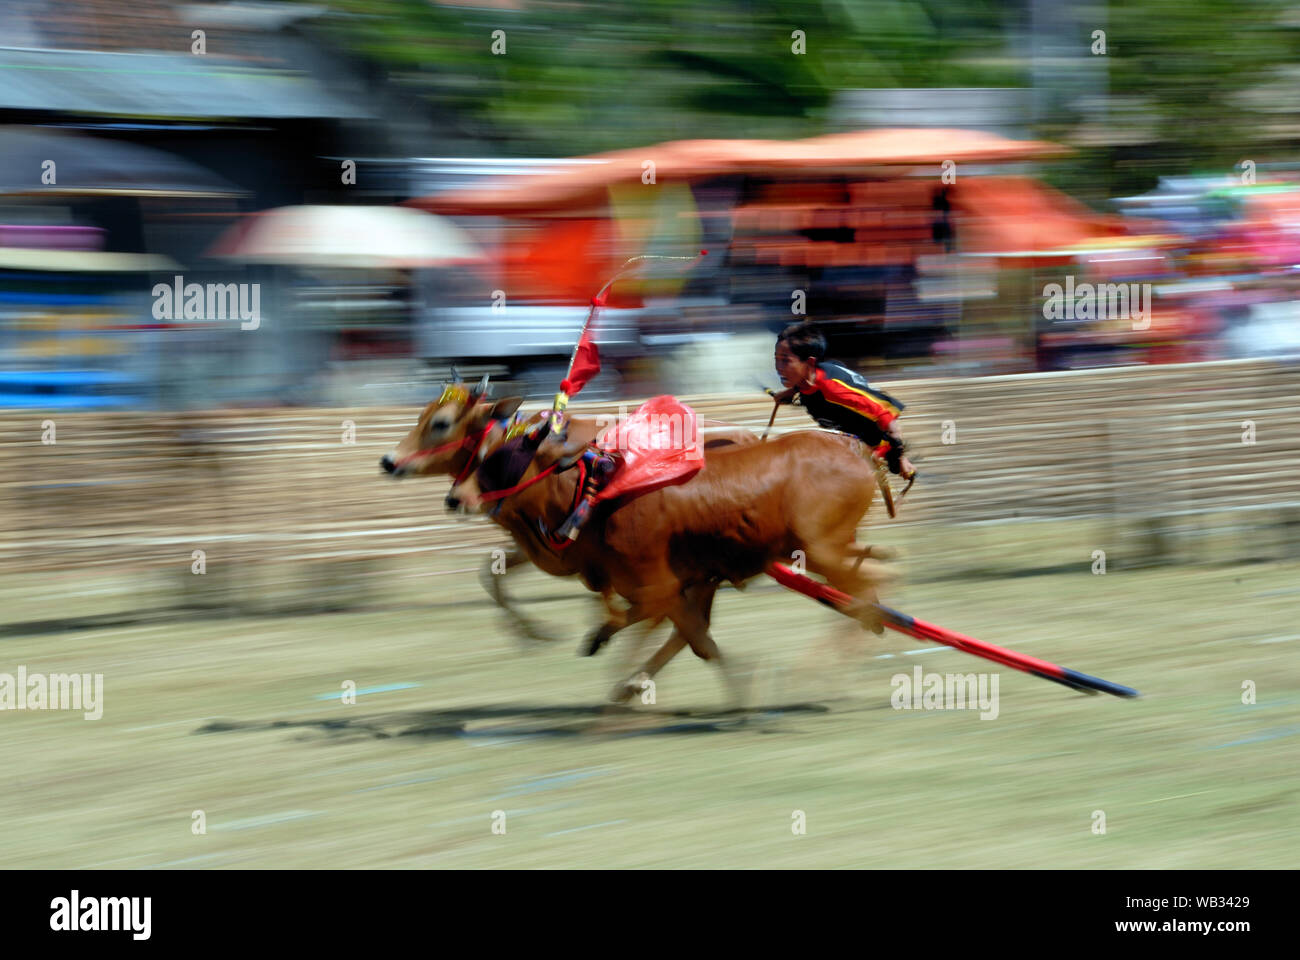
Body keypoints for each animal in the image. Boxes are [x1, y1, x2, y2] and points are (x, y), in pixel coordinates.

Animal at [449, 421, 894, 697]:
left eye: (499, 460)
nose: (454, 498)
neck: (595, 493)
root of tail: (855, 448)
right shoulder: (682, 582)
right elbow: (686, 633)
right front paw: (619, 672)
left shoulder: (662, 581)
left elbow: (686, 635)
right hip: (829, 551)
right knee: (874, 580)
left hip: (821, 550)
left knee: (875, 581)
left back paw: (820, 672)